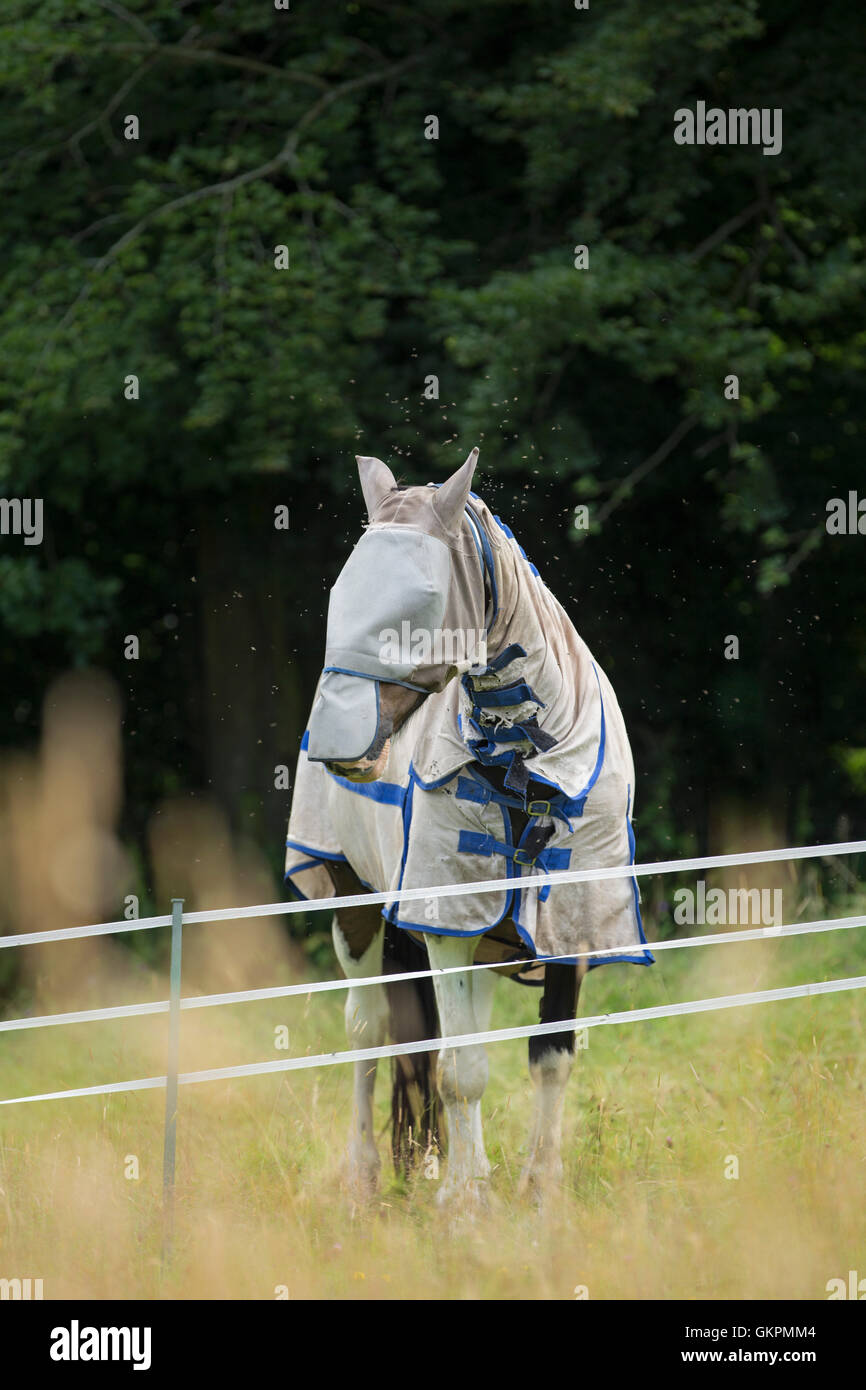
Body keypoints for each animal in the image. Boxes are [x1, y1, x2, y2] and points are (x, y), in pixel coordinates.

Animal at [285, 448, 652, 1207]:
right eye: (343, 590)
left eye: (421, 597)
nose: (336, 744)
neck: (524, 758)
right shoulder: (442, 910)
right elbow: (459, 1070)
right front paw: (462, 1207)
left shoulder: (568, 923)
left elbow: (549, 1059)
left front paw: (538, 1191)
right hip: (354, 901)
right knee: (370, 1029)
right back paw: (367, 1178)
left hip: (482, 929)